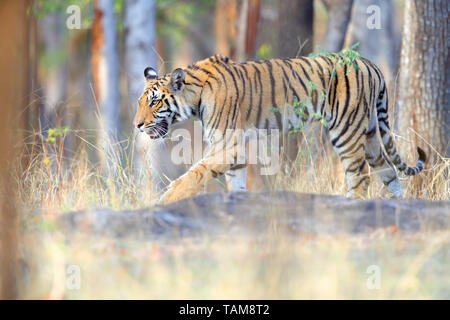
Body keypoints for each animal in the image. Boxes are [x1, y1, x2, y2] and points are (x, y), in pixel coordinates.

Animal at [133, 52, 426, 202]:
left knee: (360, 175)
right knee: (388, 171)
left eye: (154, 102)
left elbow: (194, 173)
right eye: (140, 102)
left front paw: (166, 199)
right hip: (370, 134)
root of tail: (369, 63)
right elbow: (235, 182)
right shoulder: (235, 152)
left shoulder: (227, 146)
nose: (137, 125)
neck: (195, 99)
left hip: (346, 130)